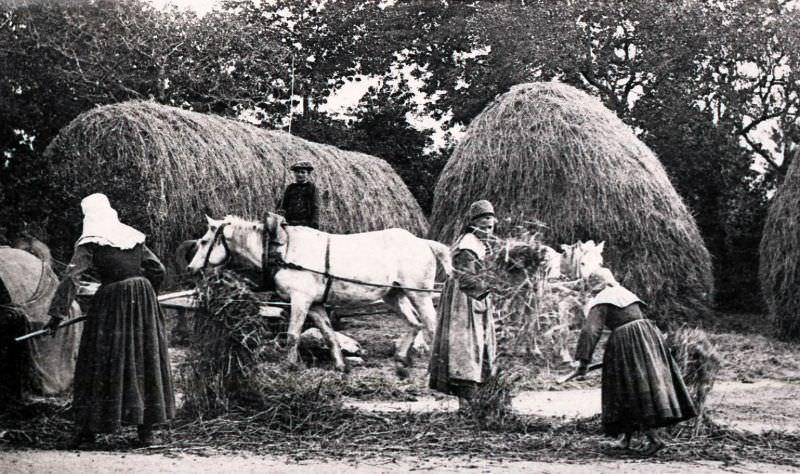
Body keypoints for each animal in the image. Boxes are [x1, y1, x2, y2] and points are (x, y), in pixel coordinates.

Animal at [186, 214, 450, 374]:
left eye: (204, 241)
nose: (190, 268)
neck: (282, 250)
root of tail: (424, 242)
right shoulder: (315, 305)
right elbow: (329, 335)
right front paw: (341, 366)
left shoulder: (300, 300)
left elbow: (292, 335)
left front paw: (290, 365)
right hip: (394, 295)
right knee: (414, 323)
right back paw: (401, 358)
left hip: (419, 294)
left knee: (431, 326)